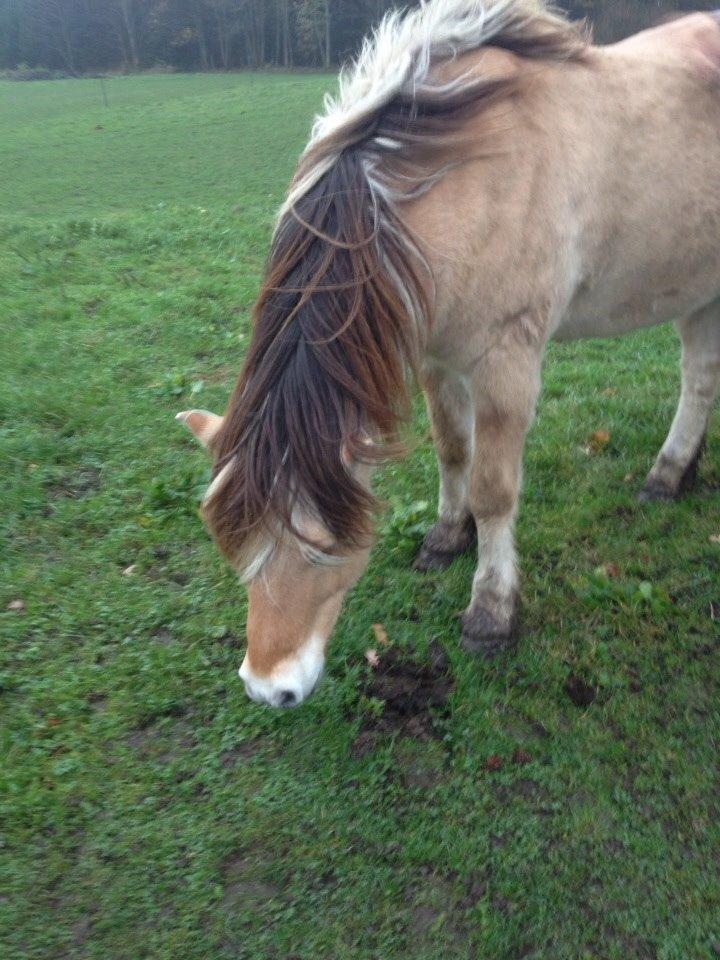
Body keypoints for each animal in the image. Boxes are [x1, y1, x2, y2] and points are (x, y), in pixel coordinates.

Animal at [177, 0, 720, 704]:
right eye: (229, 541)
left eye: (323, 547)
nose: (270, 688)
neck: (465, 176)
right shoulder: (438, 360)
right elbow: (452, 450)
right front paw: (445, 537)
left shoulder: (505, 365)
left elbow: (493, 490)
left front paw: (491, 612)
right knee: (700, 379)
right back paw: (675, 474)